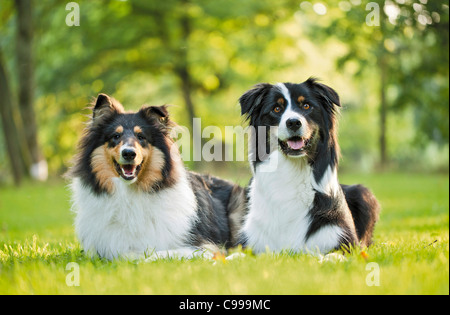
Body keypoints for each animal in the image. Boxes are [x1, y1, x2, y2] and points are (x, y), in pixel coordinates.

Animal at [66, 94, 246, 262]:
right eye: (115, 136)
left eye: (141, 137)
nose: (129, 153)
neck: (131, 194)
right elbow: (127, 255)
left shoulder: (202, 246)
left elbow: (155, 255)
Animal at [237, 79, 382, 256]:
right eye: (276, 109)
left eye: (306, 106)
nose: (293, 122)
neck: (292, 170)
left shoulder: (345, 240)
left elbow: (333, 254)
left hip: (363, 193)